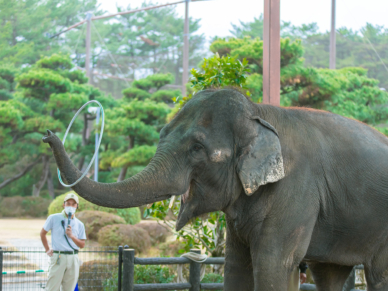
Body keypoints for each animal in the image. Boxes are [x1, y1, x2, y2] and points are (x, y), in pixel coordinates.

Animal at [43, 89, 388, 291]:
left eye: (197, 148)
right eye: (162, 134)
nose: (49, 135)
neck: (260, 113)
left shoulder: (296, 188)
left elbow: (273, 265)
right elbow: (237, 266)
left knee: (376, 274)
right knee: (328, 274)